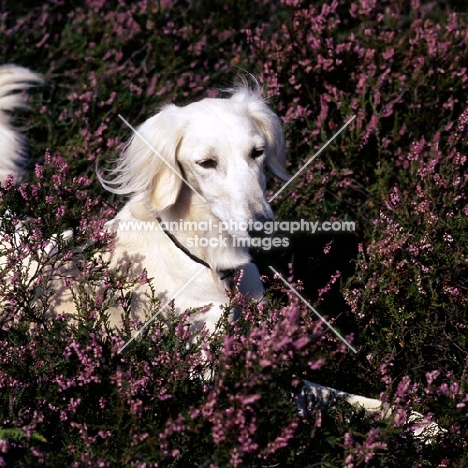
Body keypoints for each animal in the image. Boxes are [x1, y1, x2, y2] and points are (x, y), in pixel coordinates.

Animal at [0, 64, 440, 440]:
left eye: (257, 152)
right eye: (206, 162)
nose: (261, 226)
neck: (212, 264)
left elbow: (343, 397)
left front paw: (420, 422)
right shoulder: (208, 381)